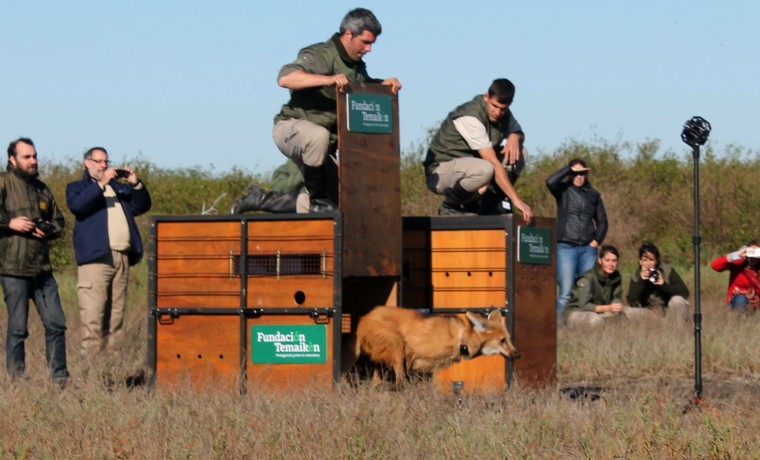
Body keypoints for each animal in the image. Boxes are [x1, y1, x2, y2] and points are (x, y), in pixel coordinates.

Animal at [348, 308, 516, 386]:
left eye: (508, 339)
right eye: (502, 341)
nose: (518, 354)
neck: (460, 339)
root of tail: (363, 320)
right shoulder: (410, 352)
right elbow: (403, 382)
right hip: (396, 342)